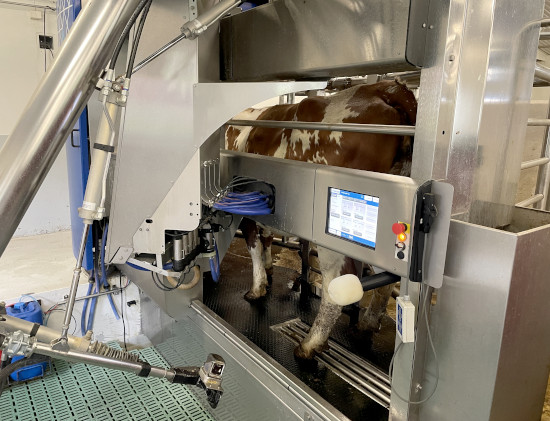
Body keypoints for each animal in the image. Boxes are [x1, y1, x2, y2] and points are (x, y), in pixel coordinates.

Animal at [224, 79, 418, 358]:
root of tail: (385, 88)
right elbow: (267, 238)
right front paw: (269, 269)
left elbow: (253, 245)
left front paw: (257, 287)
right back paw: (367, 324)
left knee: (335, 286)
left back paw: (311, 343)